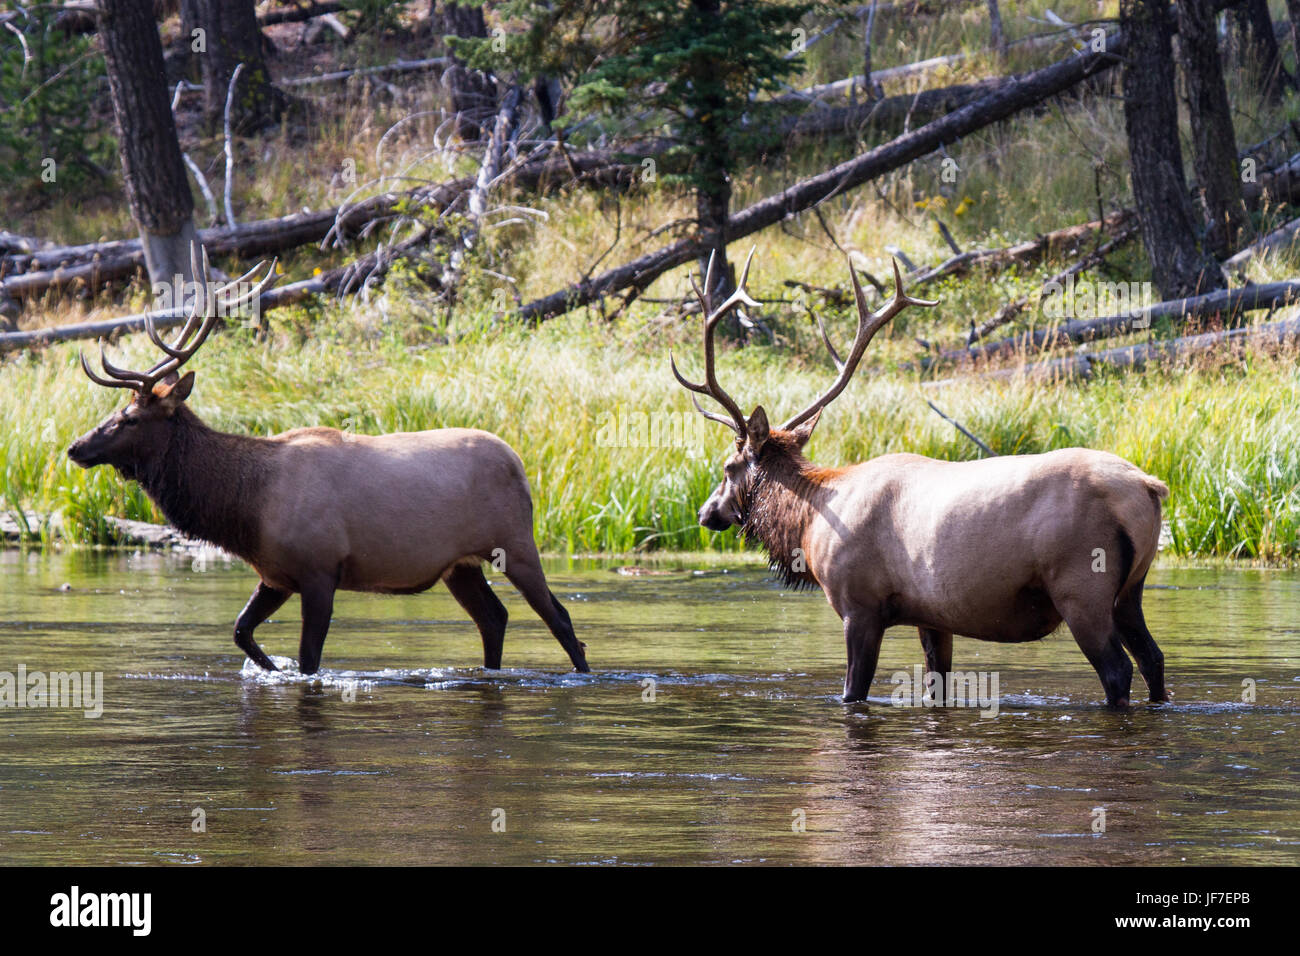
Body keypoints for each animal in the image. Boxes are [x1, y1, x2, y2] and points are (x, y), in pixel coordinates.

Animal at [65, 247, 585, 681]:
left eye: (129, 418)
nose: (76, 447)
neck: (245, 508)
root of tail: (520, 464)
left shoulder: (320, 570)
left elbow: (310, 660)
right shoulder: (275, 575)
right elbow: (241, 631)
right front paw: (271, 668)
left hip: (515, 542)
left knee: (560, 619)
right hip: (460, 565)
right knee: (494, 618)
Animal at [676, 254, 1175, 712]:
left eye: (728, 466)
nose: (705, 512)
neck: (808, 523)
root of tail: (1149, 487)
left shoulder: (859, 605)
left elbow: (853, 692)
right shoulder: (932, 615)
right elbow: (938, 688)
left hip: (1081, 586)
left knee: (1118, 669)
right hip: (1130, 590)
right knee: (1153, 659)